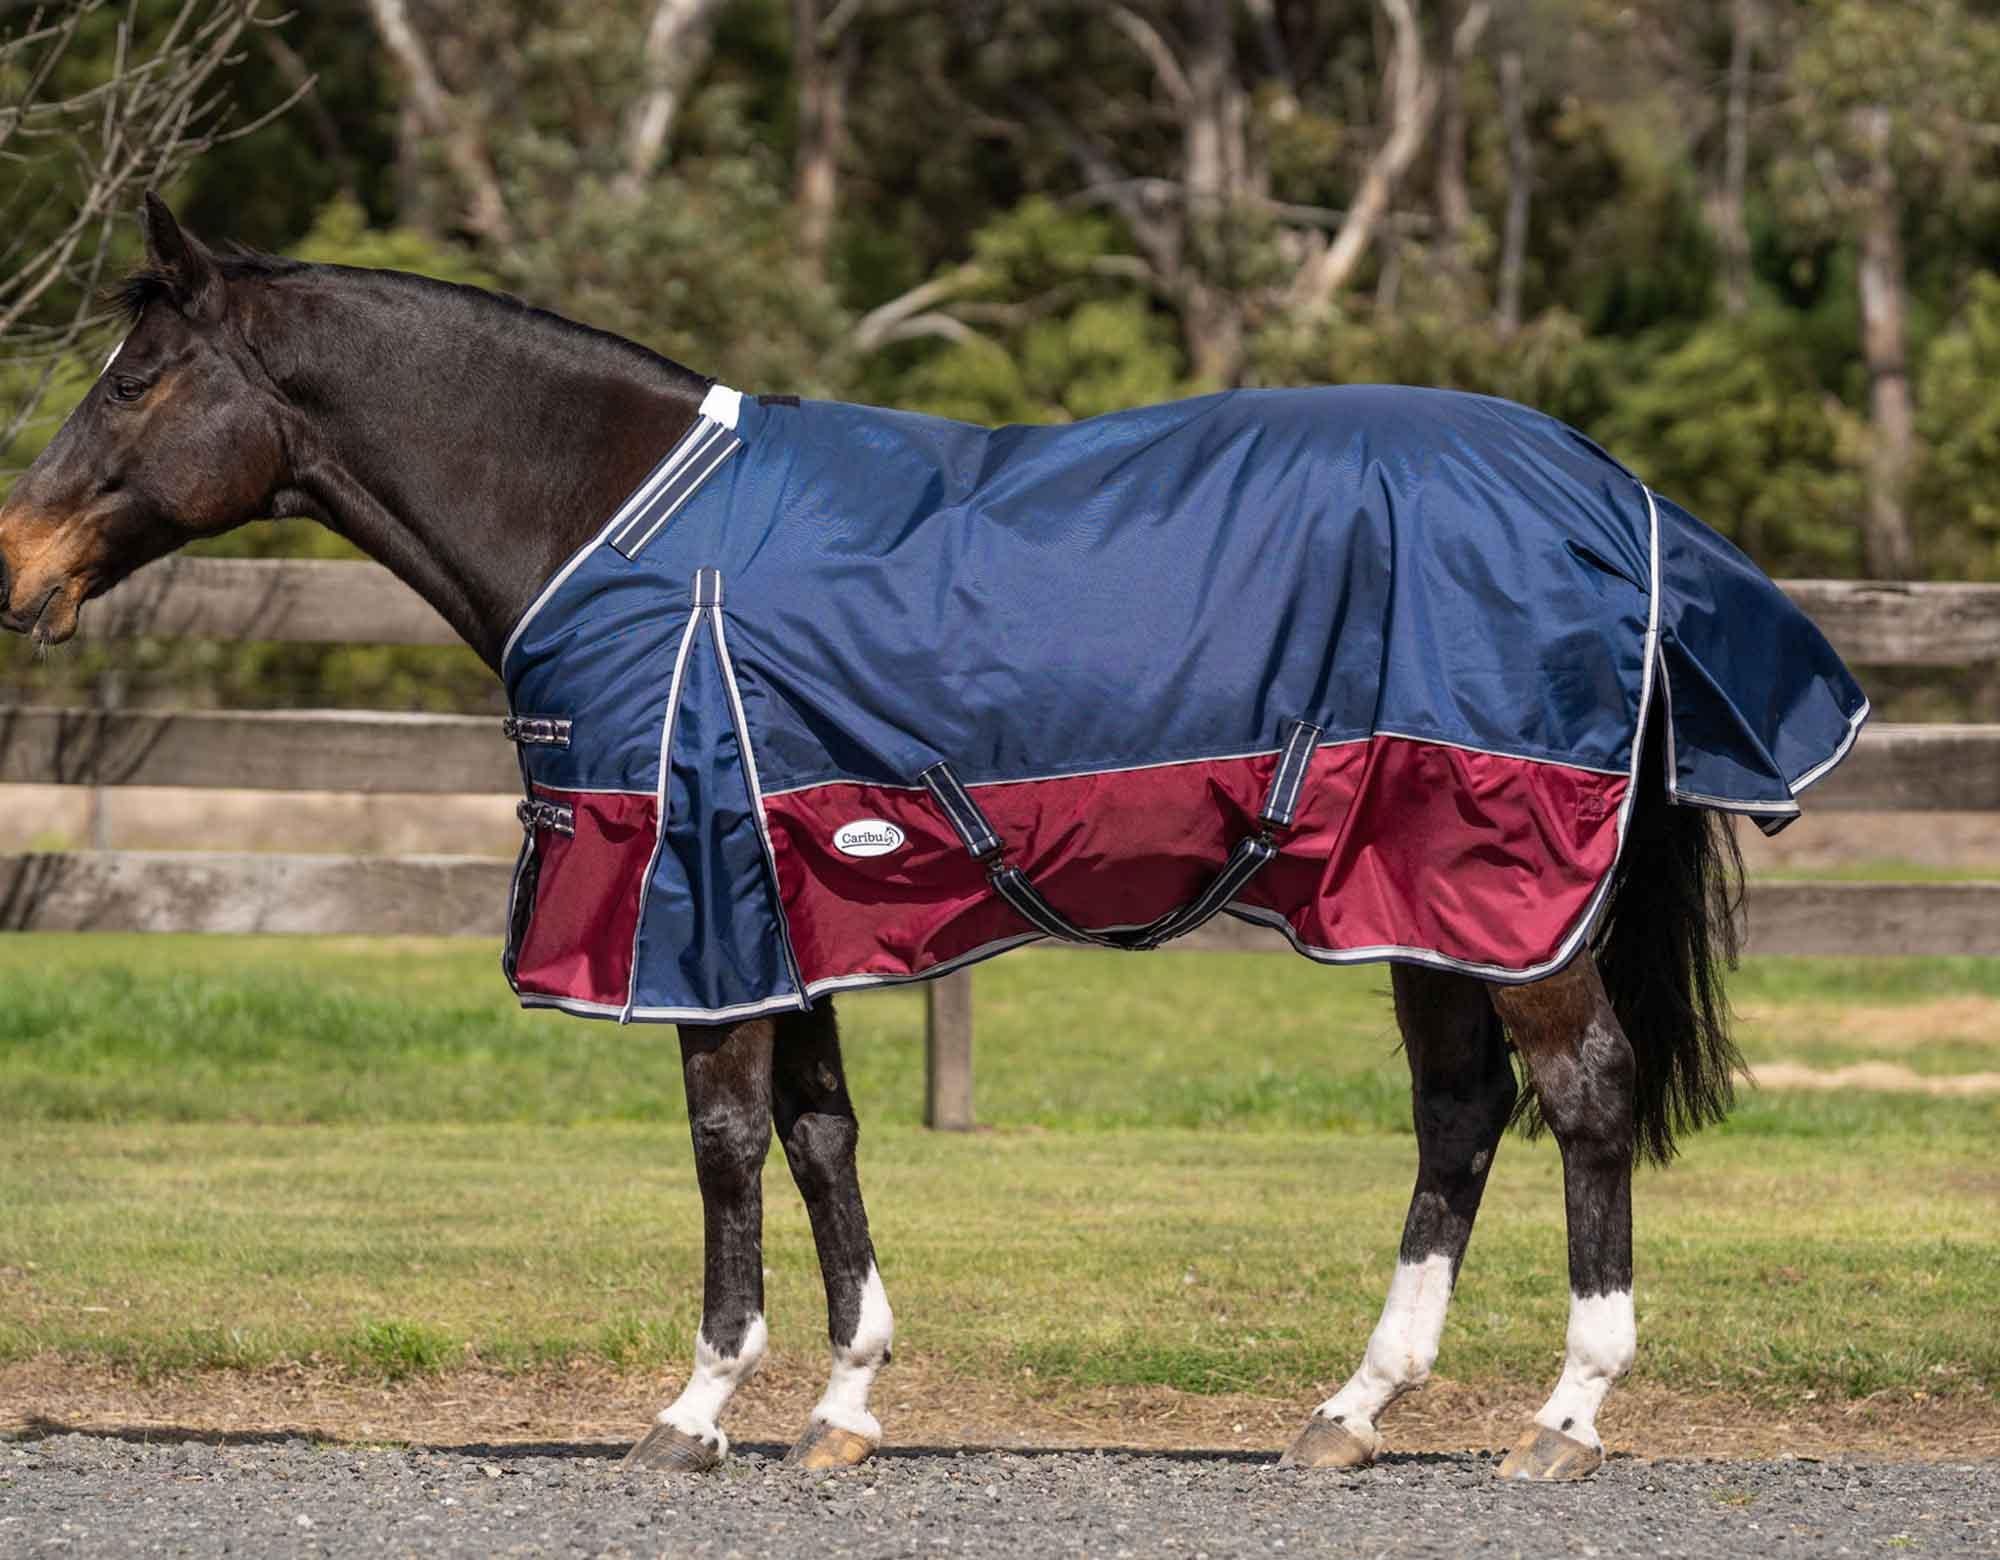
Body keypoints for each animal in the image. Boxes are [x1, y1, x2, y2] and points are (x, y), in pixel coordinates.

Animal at [0, 197, 1865, 1481]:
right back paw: (1350, 1410)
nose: (17, 564)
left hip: (1510, 878)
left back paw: (1563, 1417)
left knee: (1584, 1098)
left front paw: (696, 1409)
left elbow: (727, 1147)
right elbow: (823, 1140)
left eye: (141, 377)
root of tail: (1620, 498)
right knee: (1461, 1118)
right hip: (1420, 893)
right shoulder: (778, 906)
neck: (620, 520)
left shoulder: (693, 903)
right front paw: (841, 1408)